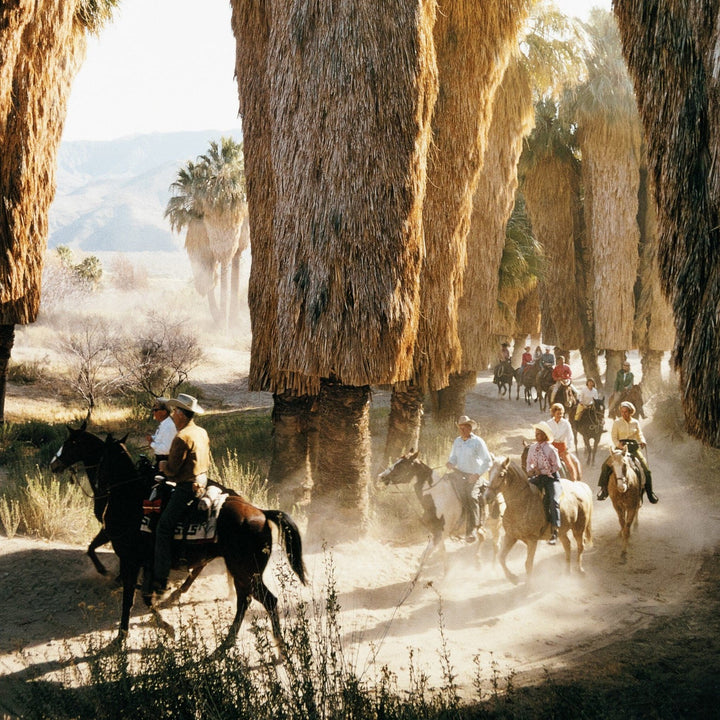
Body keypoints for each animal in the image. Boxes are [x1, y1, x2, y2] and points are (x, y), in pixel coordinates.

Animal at [52, 428, 306, 648]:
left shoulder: (130, 558)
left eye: (70, 442)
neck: (128, 496)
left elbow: (129, 596)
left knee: (265, 600)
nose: (54, 464)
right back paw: (224, 640)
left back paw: (277, 645)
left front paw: (123, 635)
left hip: (246, 570)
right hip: (242, 570)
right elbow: (144, 595)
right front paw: (164, 625)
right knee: (243, 598)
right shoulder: (146, 562)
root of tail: (262, 513)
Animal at [480, 456, 592, 584]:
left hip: (579, 527)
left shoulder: (532, 540)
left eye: (501, 474)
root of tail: (581, 487)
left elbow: (528, 564)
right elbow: (501, 557)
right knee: (567, 545)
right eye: (489, 472)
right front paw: (513, 578)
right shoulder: (511, 536)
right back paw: (566, 573)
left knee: (580, 545)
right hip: (562, 531)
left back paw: (580, 570)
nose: (486, 497)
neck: (522, 504)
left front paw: (528, 585)